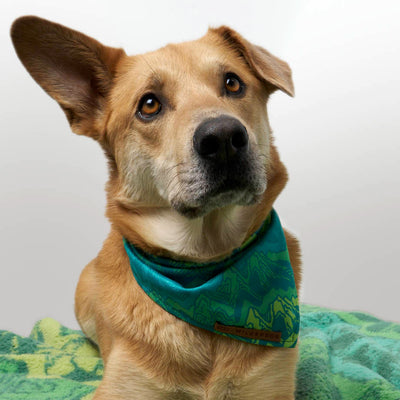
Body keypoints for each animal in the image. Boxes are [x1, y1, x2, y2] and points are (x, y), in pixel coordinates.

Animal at [10, 16, 302, 400]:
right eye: (149, 105)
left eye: (233, 82)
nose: (224, 137)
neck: (205, 271)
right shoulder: (120, 389)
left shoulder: (271, 388)